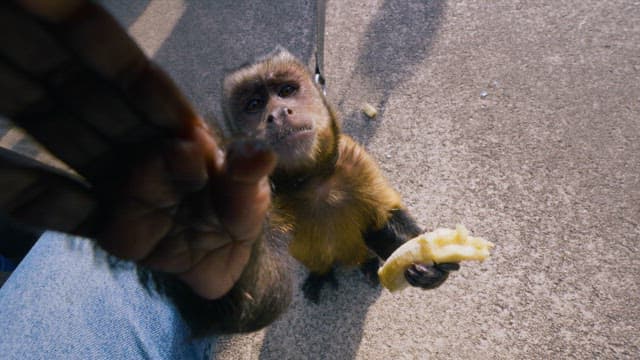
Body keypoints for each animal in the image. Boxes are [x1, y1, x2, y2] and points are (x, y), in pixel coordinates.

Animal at [221, 47, 460, 300]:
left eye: (286, 91)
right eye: (254, 105)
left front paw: (431, 268)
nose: (278, 113)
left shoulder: (355, 162)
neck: (313, 180)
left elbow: (383, 220)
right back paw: (321, 272)